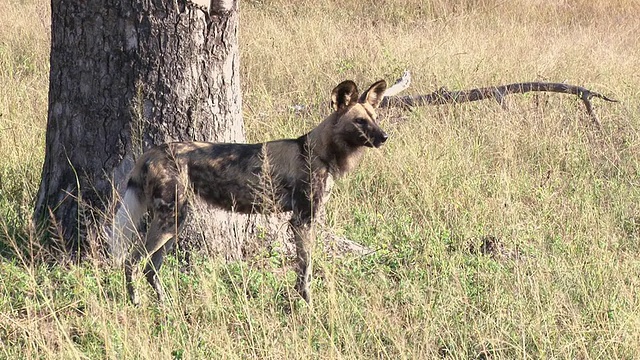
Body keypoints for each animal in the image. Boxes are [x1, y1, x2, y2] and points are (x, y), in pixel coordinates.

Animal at [109, 79, 388, 304]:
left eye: (375, 117)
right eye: (360, 121)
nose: (385, 137)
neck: (317, 152)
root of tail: (151, 152)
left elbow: (303, 269)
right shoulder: (302, 220)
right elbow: (305, 270)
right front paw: (307, 305)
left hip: (175, 223)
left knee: (150, 269)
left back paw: (166, 306)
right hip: (170, 221)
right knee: (131, 262)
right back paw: (136, 303)